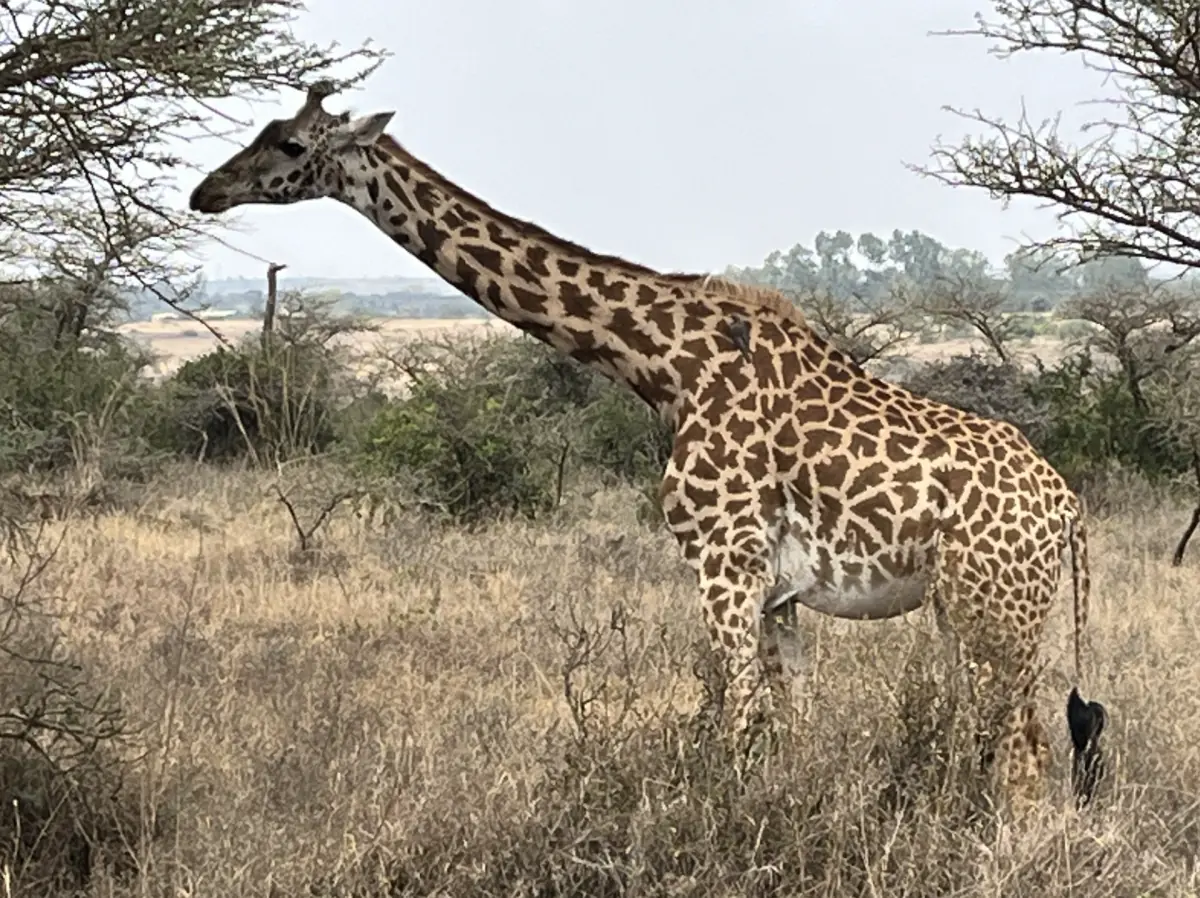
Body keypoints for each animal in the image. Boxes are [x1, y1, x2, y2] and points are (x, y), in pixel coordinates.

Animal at [188, 80, 1107, 810]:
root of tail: (1068, 507)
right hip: (971, 608)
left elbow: (737, 728)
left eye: (290, 144)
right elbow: (792, 732)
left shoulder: (722, 566)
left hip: (995, 608)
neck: (665, 364)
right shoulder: (776, 592)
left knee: (1023, 752)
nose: (206, 190)